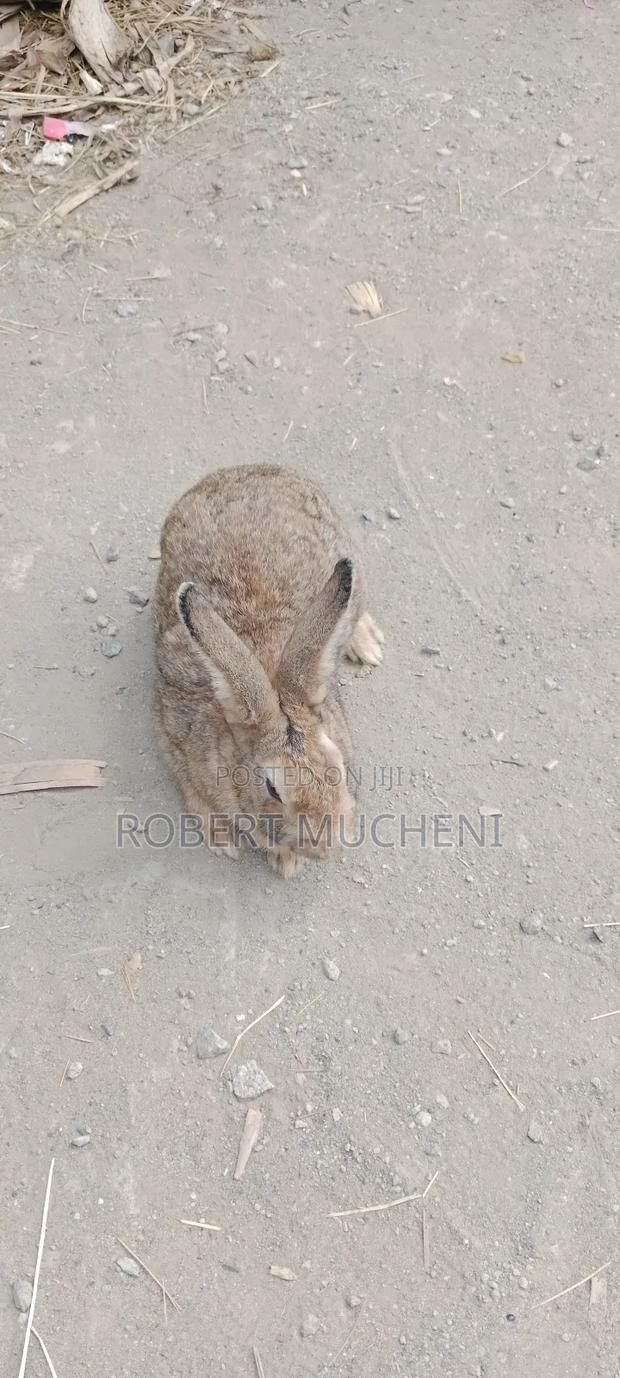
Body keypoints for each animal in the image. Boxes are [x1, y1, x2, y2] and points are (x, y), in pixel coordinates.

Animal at [154, 464, 383, 877]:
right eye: (272, 789)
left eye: (338, 767)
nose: (324, 845)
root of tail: (249, 470)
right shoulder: (172, 735)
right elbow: (194, 795)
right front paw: (224, 841)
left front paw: (288, 860)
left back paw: (367, 644)